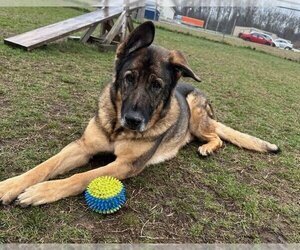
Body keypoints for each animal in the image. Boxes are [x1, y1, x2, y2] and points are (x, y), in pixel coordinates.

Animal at [0, 21, 278, 206]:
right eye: (129, 78)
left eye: (156, 86)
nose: (133, 121)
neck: (116, 129)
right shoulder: (82, 147)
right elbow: (45, 165)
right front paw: (11, 185)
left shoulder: (124, 165)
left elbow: (81, 177)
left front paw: (41, 192)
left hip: (197, 116)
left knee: (217, 137)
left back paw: (207, 147)